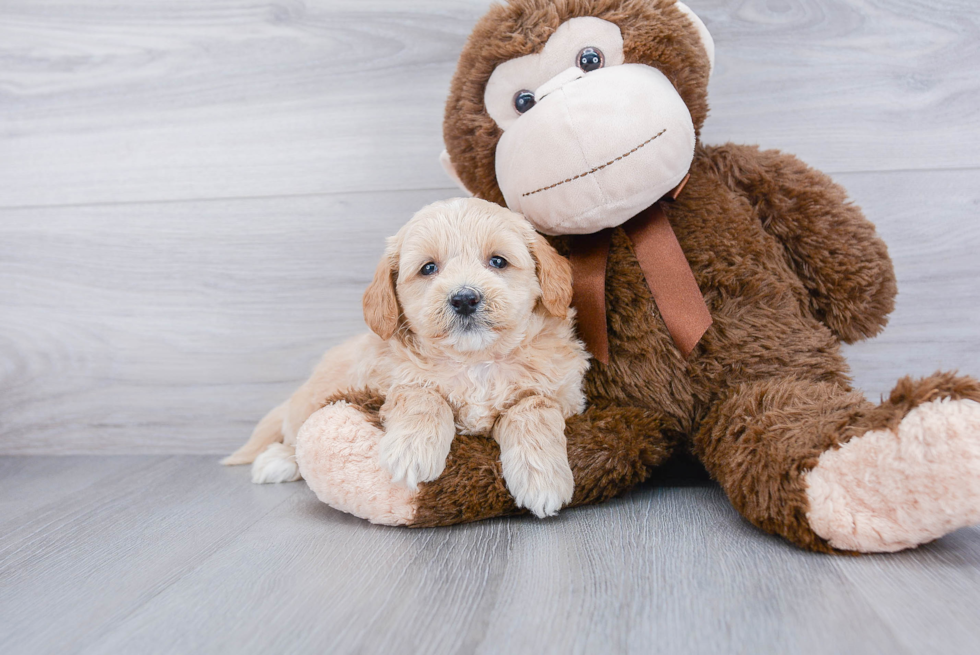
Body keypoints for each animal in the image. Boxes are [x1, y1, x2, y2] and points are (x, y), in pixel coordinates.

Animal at [224, 197, 588, 520]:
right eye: (428, 268)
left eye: (498, 262)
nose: (465, 298)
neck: (474, 361)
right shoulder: (388, 384)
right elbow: (422, 393)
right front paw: (413, 450)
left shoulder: (562, 394)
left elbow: (532, 407)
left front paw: (542, 478)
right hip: (308, 402)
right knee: (296, 435)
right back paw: (278, 460)